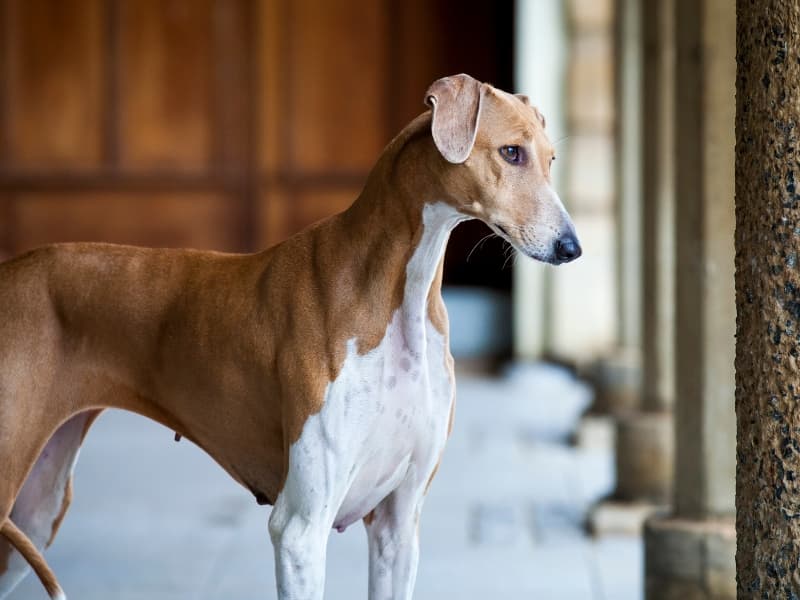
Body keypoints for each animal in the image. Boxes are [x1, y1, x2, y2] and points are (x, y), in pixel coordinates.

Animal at [0, 72, 580, 596]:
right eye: (511, 153)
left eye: (551, 159)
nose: (571, 247)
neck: (398, 298)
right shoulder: (300, 530)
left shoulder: (397, 527)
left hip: (35, 510)